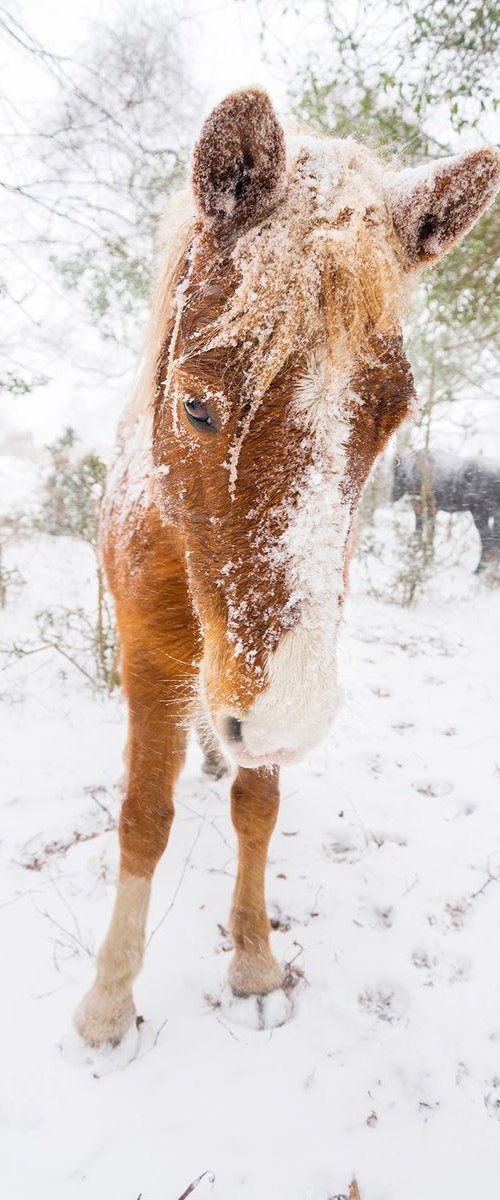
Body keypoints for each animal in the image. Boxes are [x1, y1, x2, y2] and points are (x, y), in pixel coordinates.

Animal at [74, 88, 498, 1046]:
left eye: (392, 412)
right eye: (195, 402)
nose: (289, 719)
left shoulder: (268, 677)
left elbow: (257, 809)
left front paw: (254, 959)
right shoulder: (153, 660)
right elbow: (142, 818)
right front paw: (110, 1000)